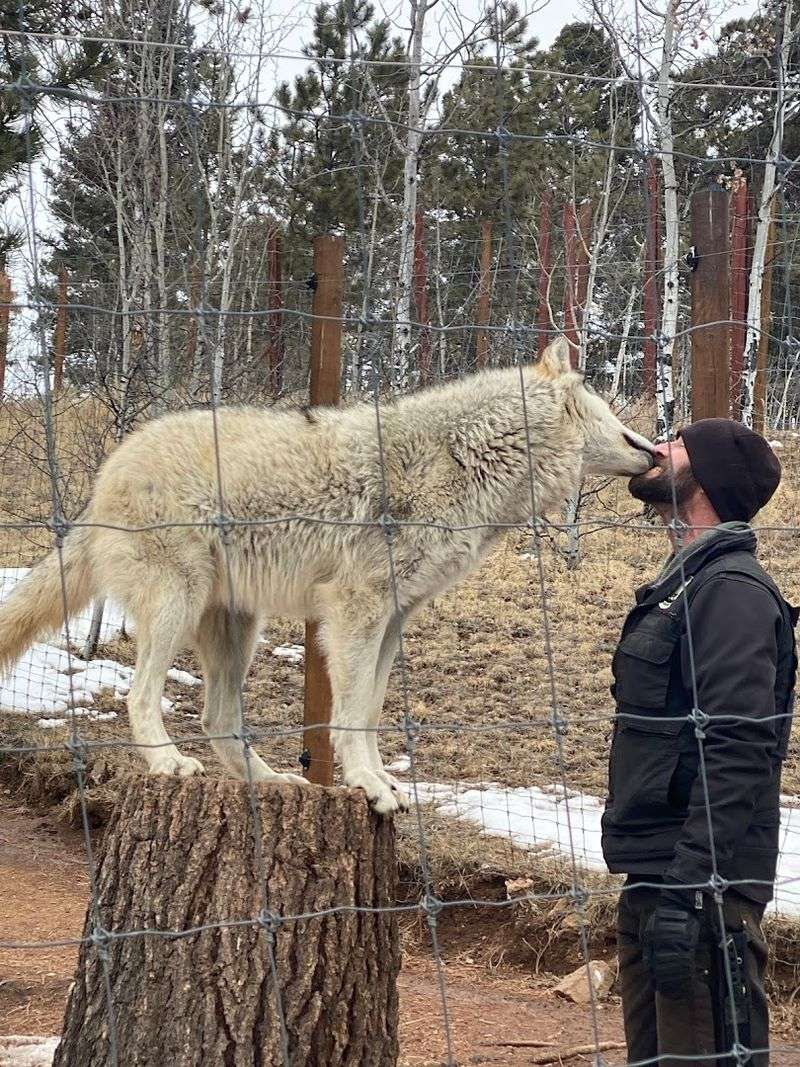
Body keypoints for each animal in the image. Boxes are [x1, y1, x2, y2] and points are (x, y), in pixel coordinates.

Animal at [0, 337, 653, 813]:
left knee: (217, 720)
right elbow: (349, 713)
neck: (467, 458)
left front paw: (381, 780)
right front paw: (368, 785)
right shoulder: (354, 609)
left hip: (239, 630)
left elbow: (368, 712)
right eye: (604, 403)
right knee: (142, 696)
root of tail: (104, 479)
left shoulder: (394, 618)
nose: (653, 444)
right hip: (177, 609)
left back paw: (272, 781)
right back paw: (168, 764)